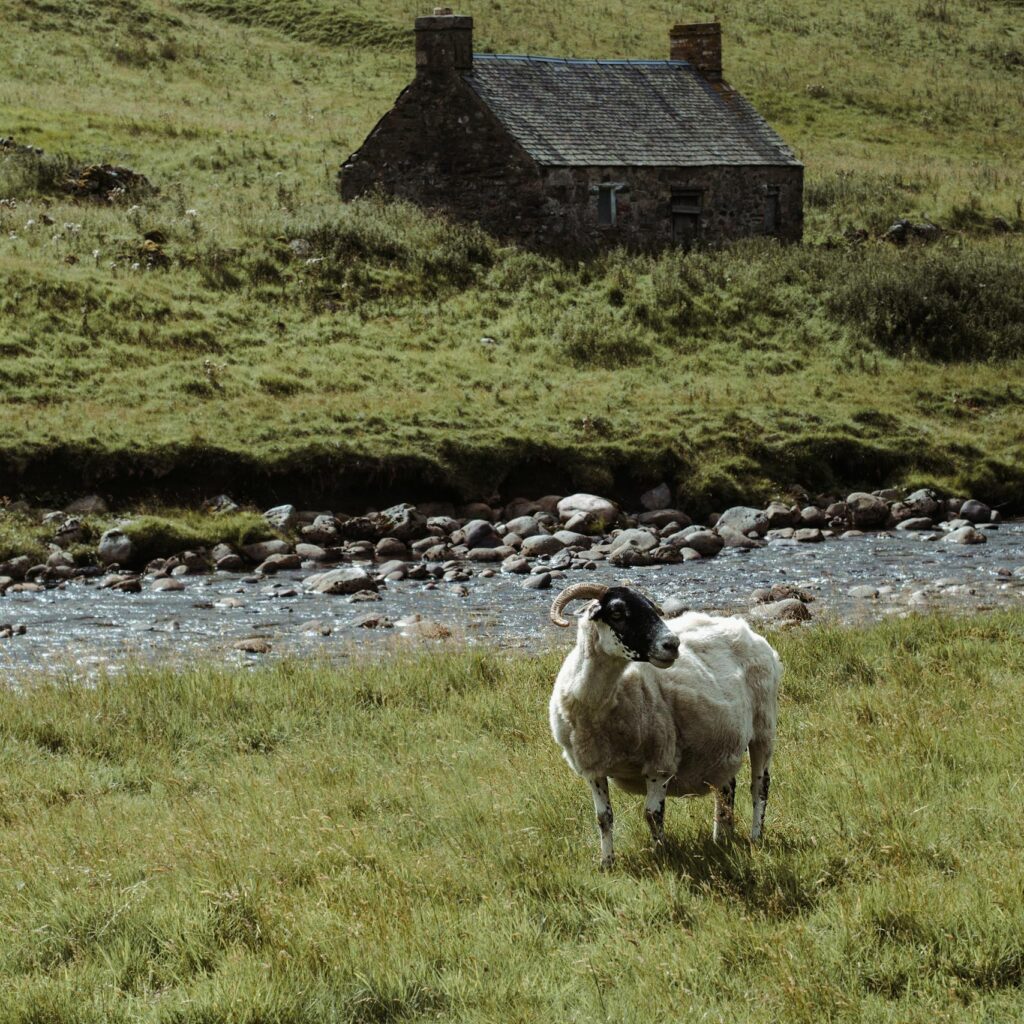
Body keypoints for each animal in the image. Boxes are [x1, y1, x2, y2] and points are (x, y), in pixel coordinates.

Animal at [548, 582, 781, 868]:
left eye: (652, 608)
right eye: (617, 612)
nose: (672, 644)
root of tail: (745, 628)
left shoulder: (659, 763)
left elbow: (652, 814)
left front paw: (662, 856)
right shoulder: (593, 769)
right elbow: (604, 818)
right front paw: (607, 863)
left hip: (764, 728)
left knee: (760, 787)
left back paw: (755, 837)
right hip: (724, 741)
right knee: (726, 789)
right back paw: (722, 838)